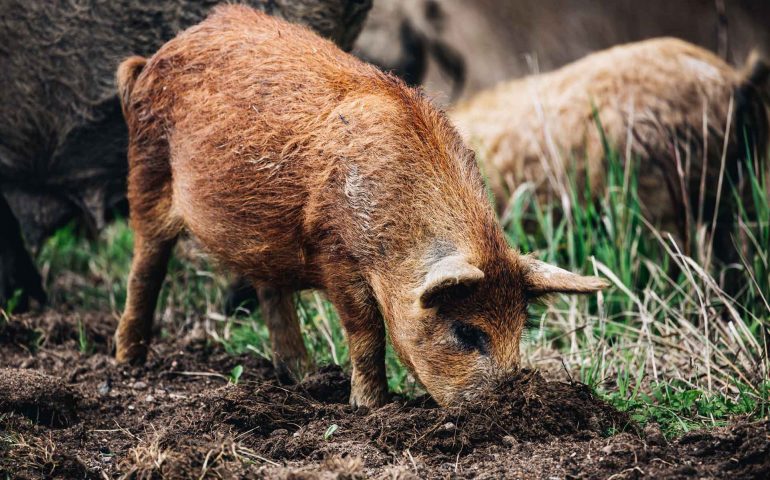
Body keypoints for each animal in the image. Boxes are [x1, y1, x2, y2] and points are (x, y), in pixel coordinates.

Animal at [114, 5, 608, 406]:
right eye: (467, 330)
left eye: (522, 326)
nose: (506, 402)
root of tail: (150, 60)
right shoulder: (335, 251)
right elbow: (367, 332)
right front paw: (371, 407)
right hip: (147, 168)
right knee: (146, 265)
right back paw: (127, 363)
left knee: (270, 291)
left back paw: (305, 379)